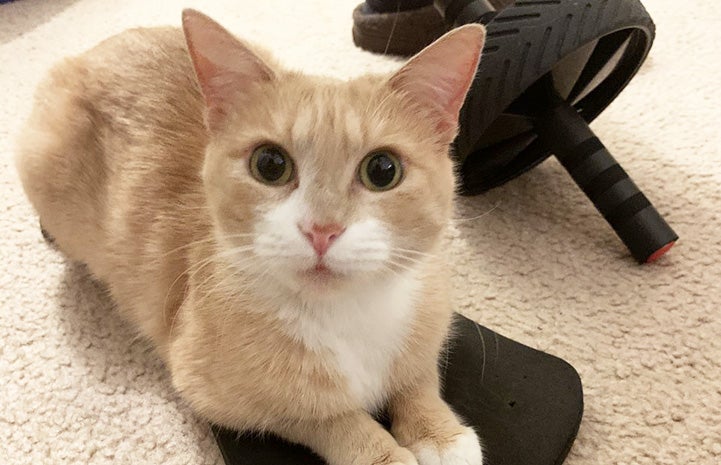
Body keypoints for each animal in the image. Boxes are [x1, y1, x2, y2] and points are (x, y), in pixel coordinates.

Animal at [16, 8, 486, 464]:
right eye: (270, 164)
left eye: (383, 170)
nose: (322, 230)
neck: (347, 314)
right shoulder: (215, 388)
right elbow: (329, 417)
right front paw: (382, 450)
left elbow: (418, 374)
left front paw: (437, 432)